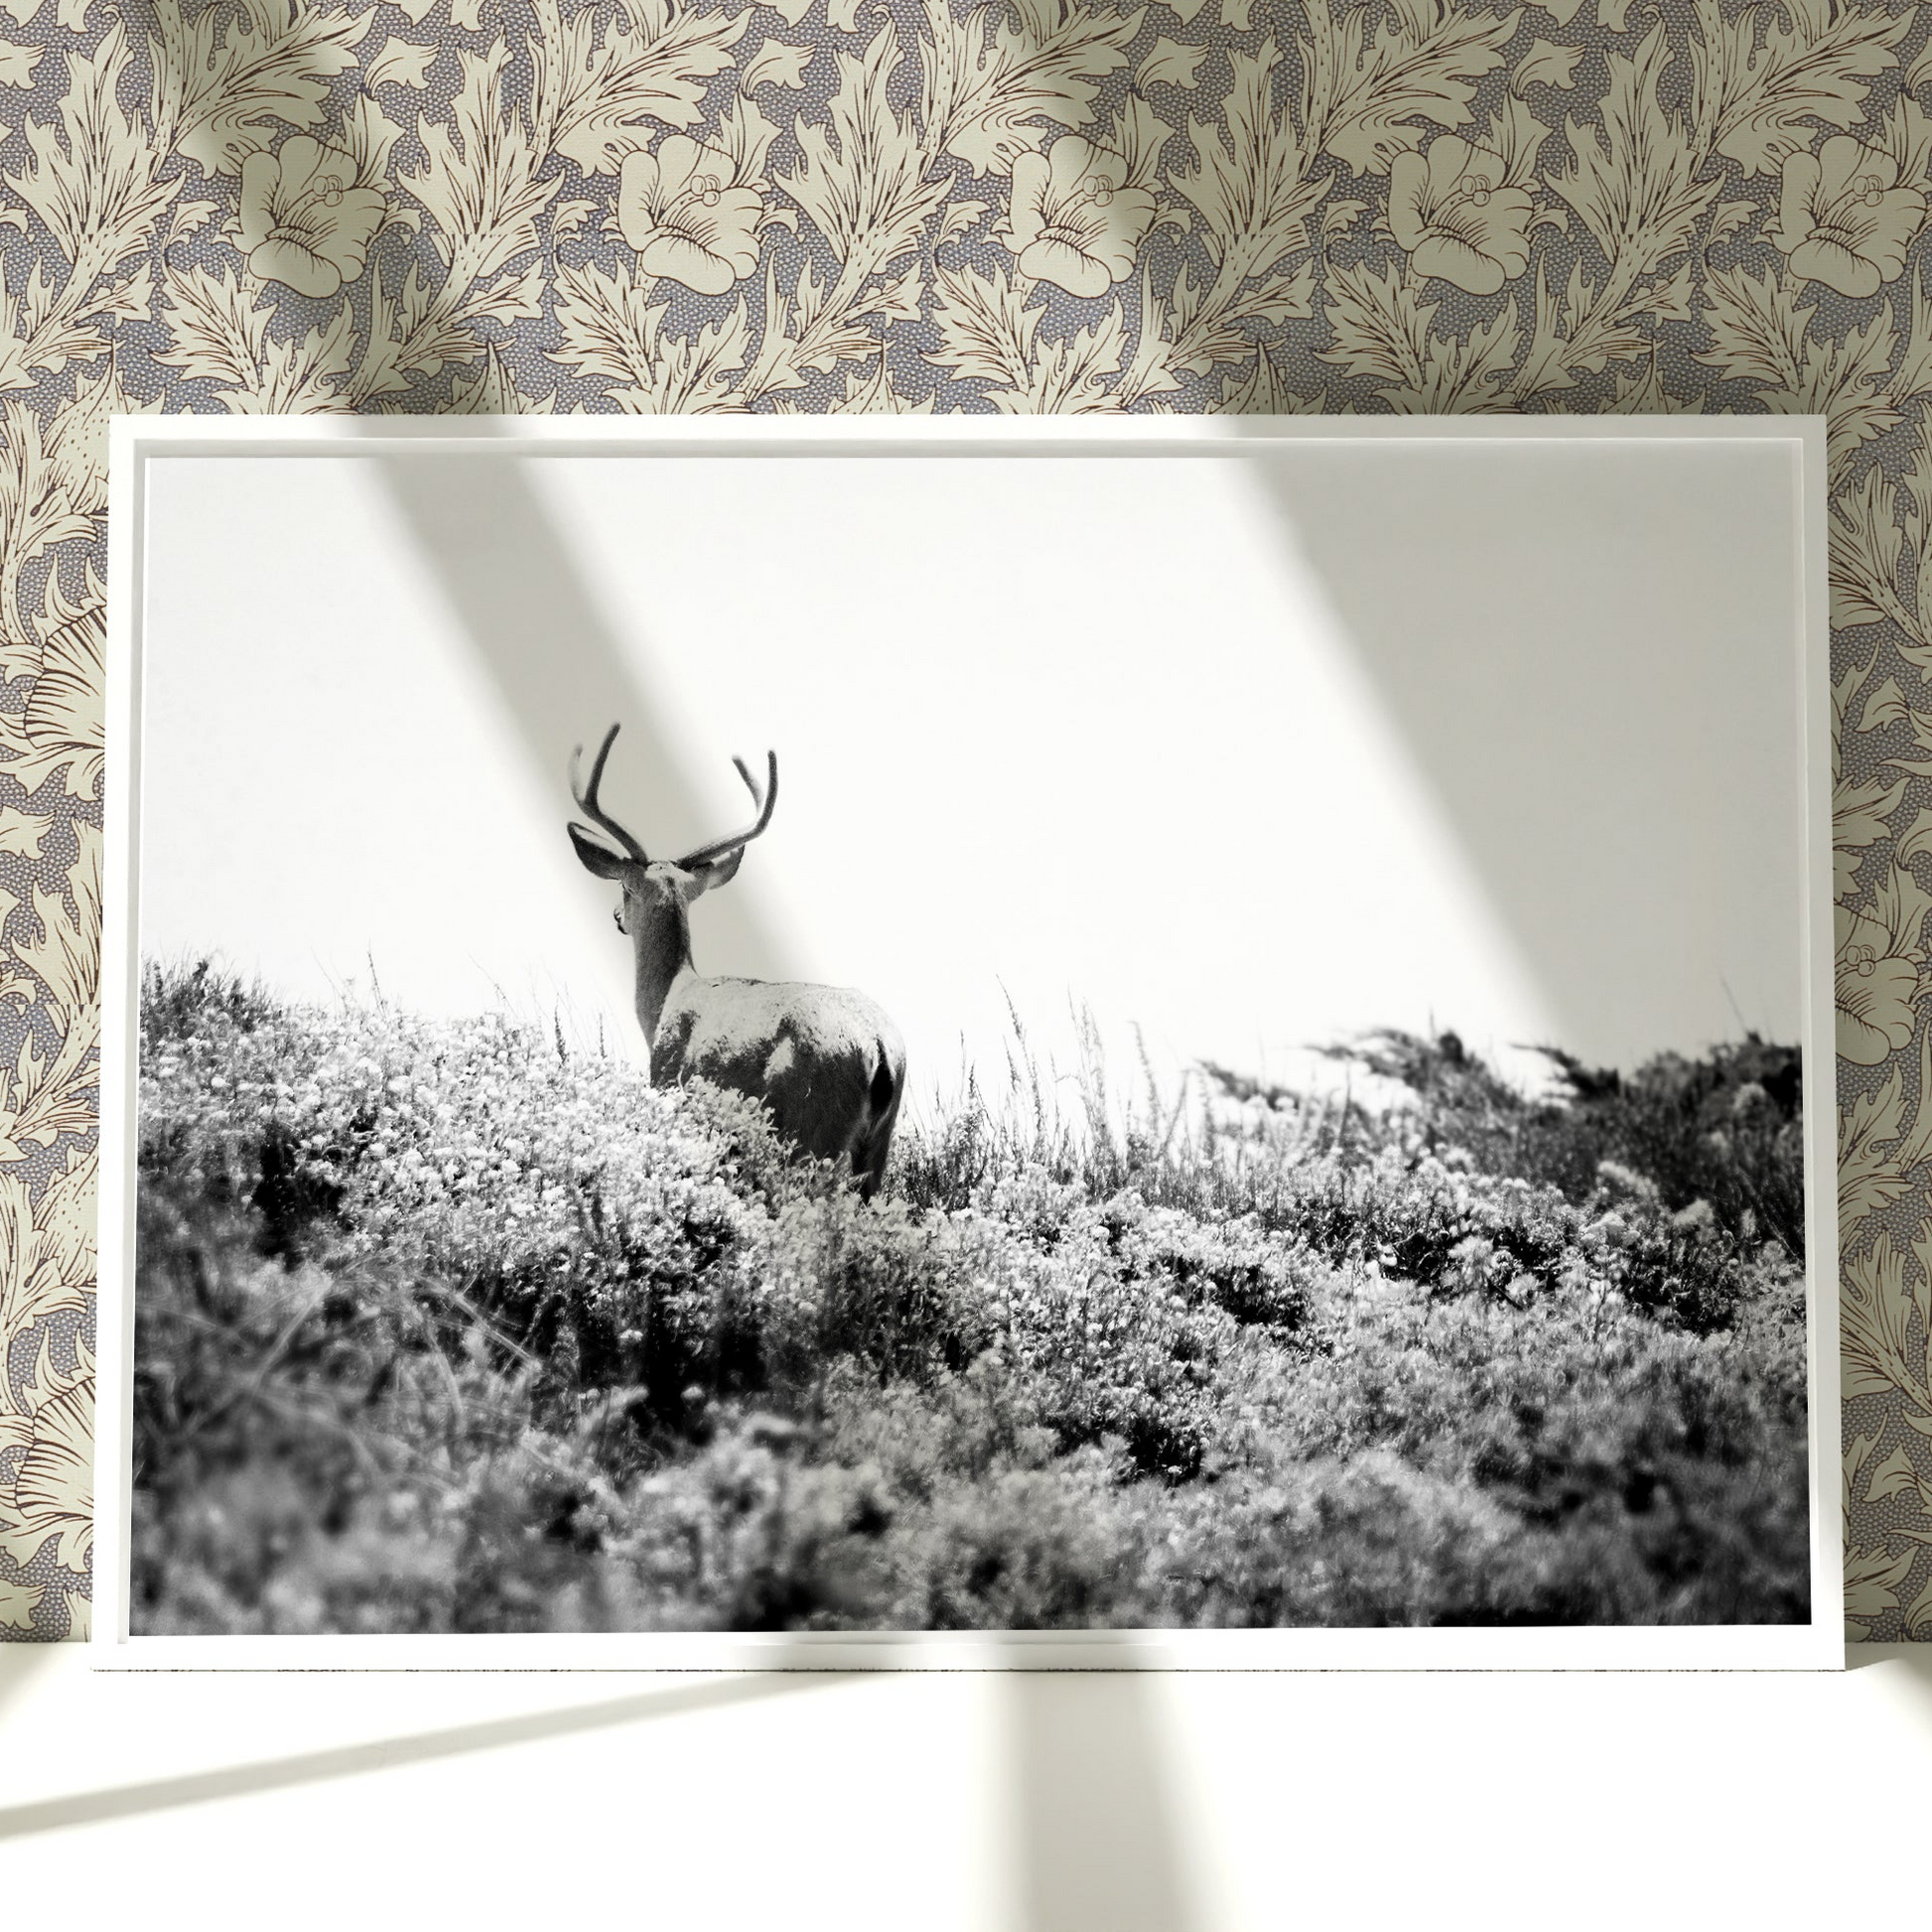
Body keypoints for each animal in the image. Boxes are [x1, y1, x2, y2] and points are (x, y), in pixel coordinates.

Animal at [568, 726, 907, 1189]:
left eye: (624, 887)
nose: (616, 917)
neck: (667, 1001)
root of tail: (880, 1047)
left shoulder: (668, 1082)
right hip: (877, 1146)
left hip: (814, 1126)